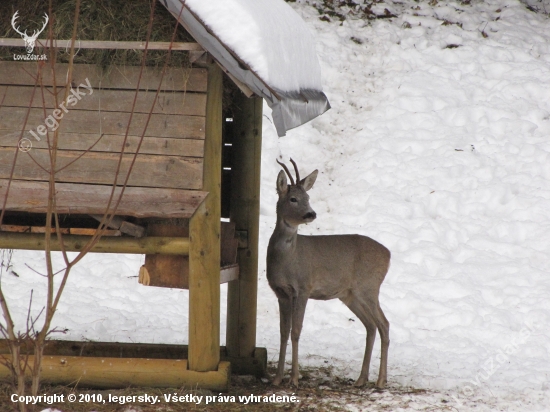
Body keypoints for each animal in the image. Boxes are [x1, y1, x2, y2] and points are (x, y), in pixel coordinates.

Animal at [268, 159, 392, 388]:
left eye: (308, 198)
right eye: (293, 198)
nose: (311, 214)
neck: (287, 259)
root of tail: (388, 255)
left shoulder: (303, 287)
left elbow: (296, 331)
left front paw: (294, 378)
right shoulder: (280, 292)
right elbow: (283, 332)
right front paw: (277, 378)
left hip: (369, 287)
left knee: (384, 324)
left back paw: (380, 381)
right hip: (349, 295)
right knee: (371, 325)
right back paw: (361, 379)